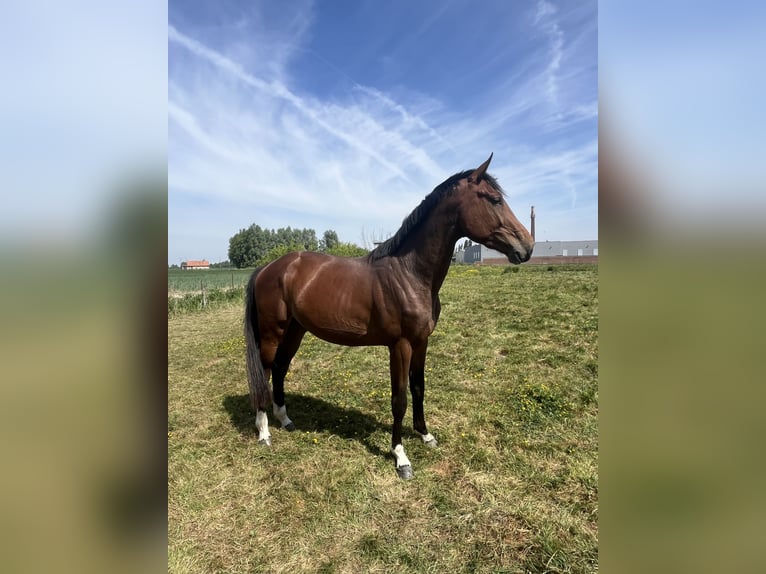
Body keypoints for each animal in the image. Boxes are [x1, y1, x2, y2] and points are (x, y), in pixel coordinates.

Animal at [244, 154, 534, 479]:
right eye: (494, 199)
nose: (527, 245)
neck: (409, 273)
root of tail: (268, 268)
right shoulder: (400, 346)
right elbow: (400, 399)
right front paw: (401, 457)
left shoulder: (422, 342)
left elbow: (419, 388)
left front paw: (425, 435)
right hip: (272, 332)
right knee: (265, 372)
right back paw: (264, 432)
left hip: (295, 330)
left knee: (281, 368)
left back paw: (285, 420)